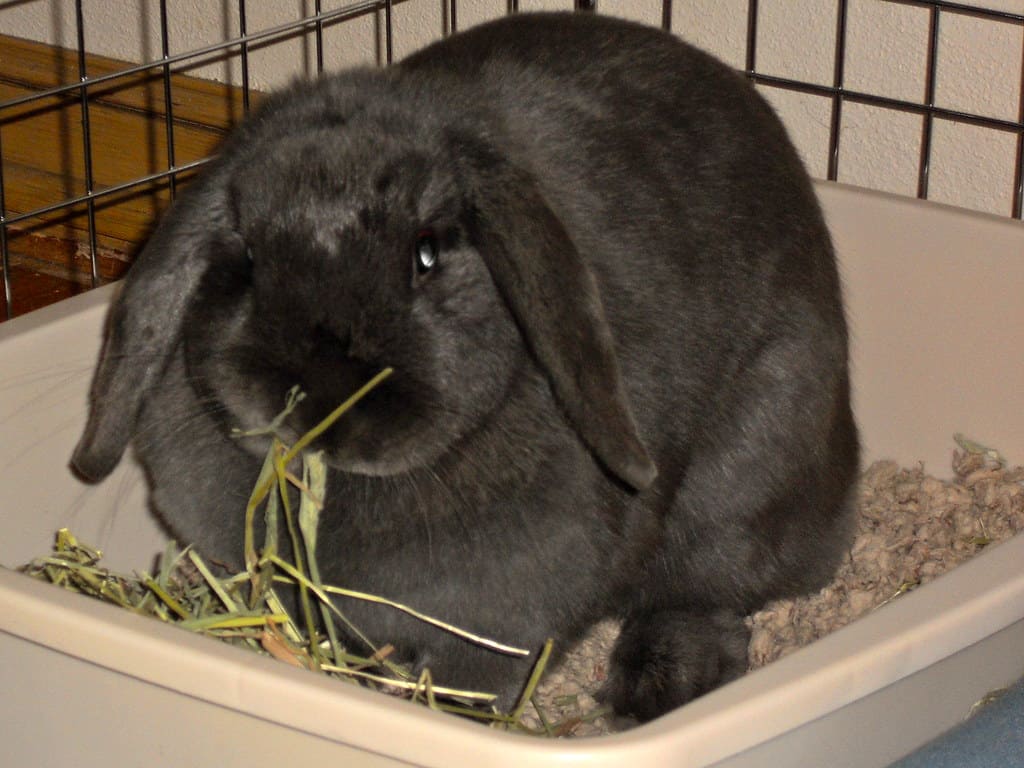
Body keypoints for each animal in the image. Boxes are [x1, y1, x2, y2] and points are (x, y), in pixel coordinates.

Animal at [72, 10, 856, 720]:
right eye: (248, 256)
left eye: (426, 253)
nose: (321, 401)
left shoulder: (500, 624)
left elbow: (478, 676)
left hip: (744, 476)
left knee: (705, 592)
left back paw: (657, 688)